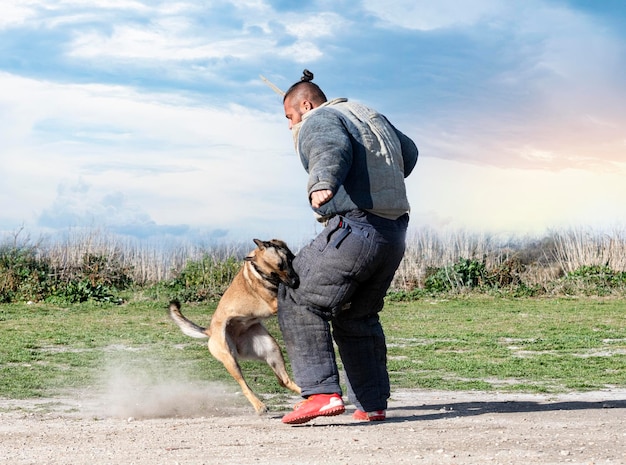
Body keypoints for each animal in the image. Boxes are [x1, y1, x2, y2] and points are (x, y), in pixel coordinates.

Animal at [168, 239, 300, 414]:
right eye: (273, 273)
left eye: (284, 263)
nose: (295, 283)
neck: (257, 272)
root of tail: (210, 331)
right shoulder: (274, 303)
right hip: (231, 361)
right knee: (244, 386)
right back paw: (259, 405)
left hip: (272, 349)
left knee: (283, 380)